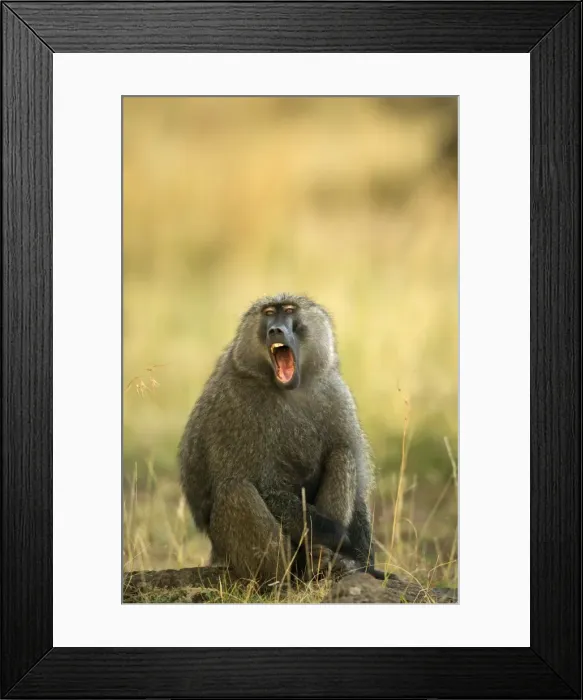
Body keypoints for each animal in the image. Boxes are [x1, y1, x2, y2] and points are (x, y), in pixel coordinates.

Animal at [179, 293, 389, 583]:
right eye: (268, 313)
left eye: (288, 310)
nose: (275, 330)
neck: (288, 390)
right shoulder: (235, 408)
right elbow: (264, 486)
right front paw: (339, 536)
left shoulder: (336, 394)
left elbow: (357, 489)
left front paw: (365, 562)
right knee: (235, 489)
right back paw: (279, 579)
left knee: (342, 454)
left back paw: (324, 563)